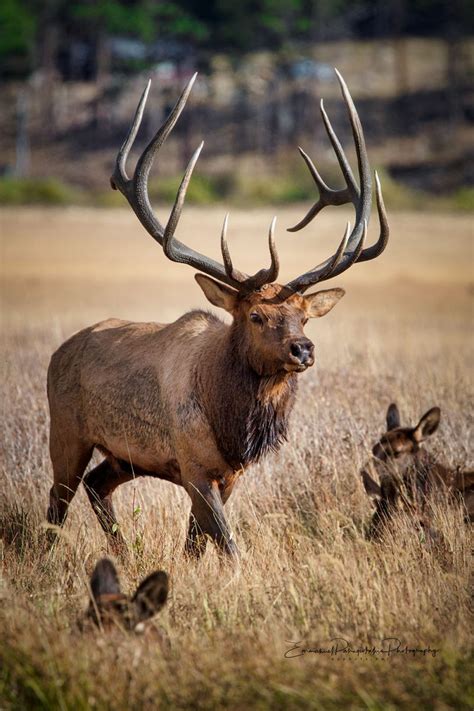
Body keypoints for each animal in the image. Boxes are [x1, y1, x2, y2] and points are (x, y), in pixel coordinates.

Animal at [47, 69, 388, 560]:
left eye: (305, 316)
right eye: (256, 316)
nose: (303, 349)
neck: (232, 426)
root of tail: (58, 352)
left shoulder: (228, 475)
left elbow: (196, 542)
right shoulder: (193, 464)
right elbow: (228, 544)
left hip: (124, 456)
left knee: (96, 486)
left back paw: (124, 554)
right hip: (66, 431)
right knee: (56, 505)